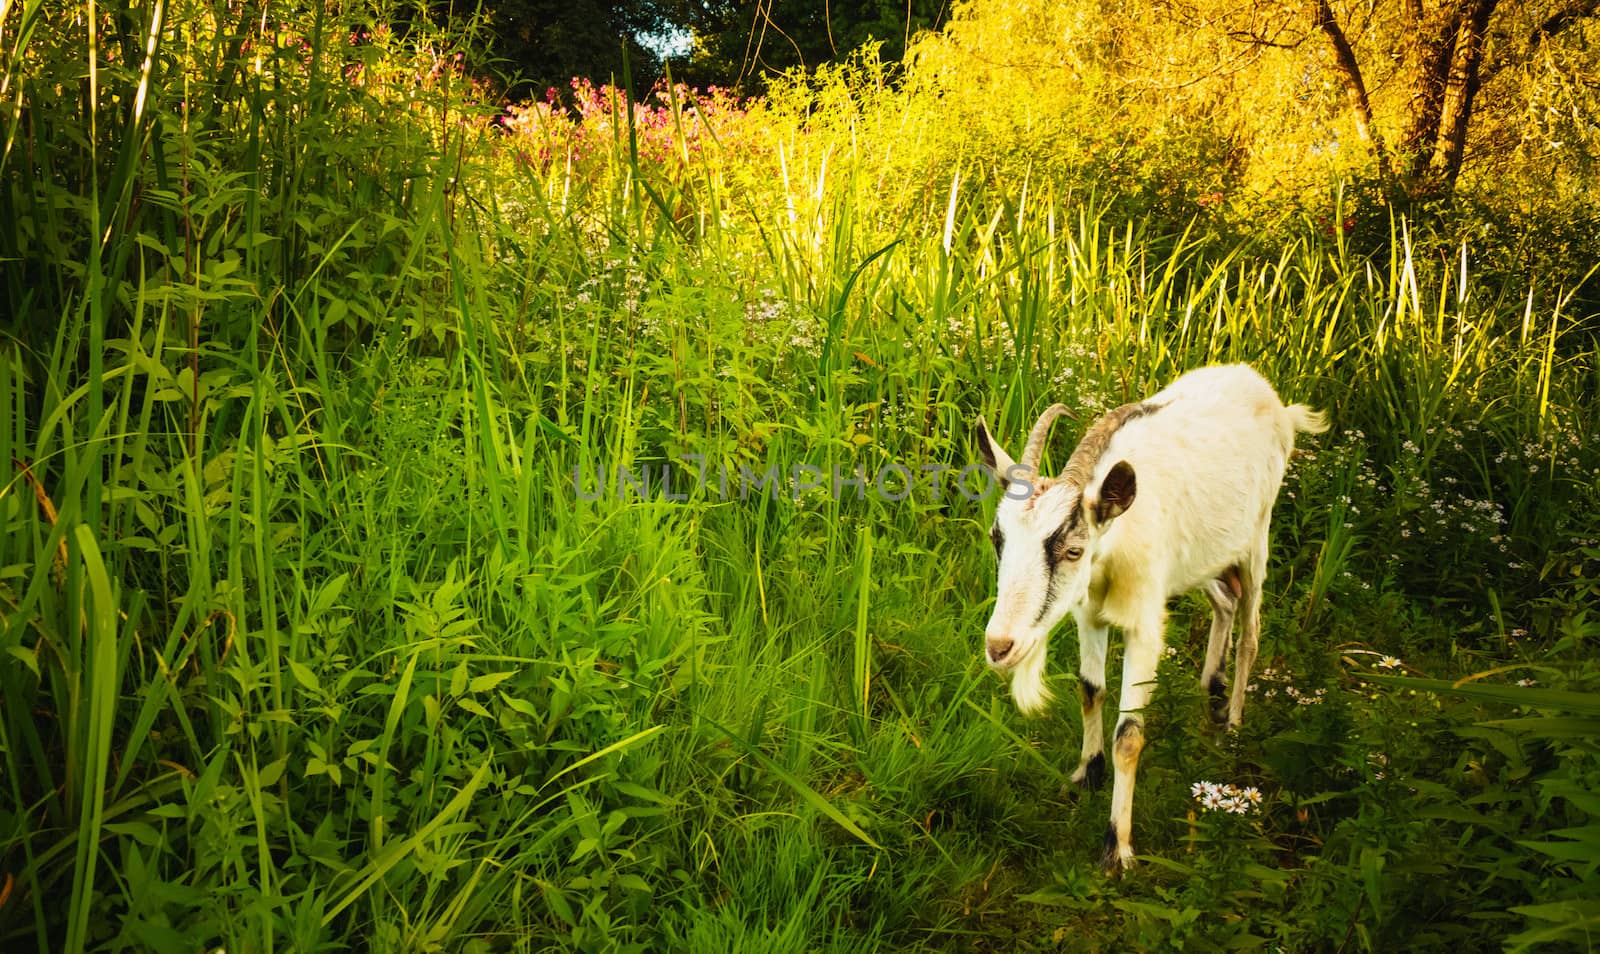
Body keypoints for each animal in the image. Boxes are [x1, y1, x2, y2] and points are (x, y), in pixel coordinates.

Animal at [966, 363, 1331, 870]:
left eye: (1073, 550)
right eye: (996, 537)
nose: (1000, 646)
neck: (1115, 540)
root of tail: (1268, 393)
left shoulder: (1143, 627)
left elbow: (1130, 735)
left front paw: (1117, 849)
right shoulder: (1088, 613)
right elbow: (1090, 692)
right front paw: (1086, 774)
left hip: (1256, 538)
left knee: (1251, 631)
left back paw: (1233, 727)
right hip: (1203, 559)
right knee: (1224, 600)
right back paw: (1211, 687)